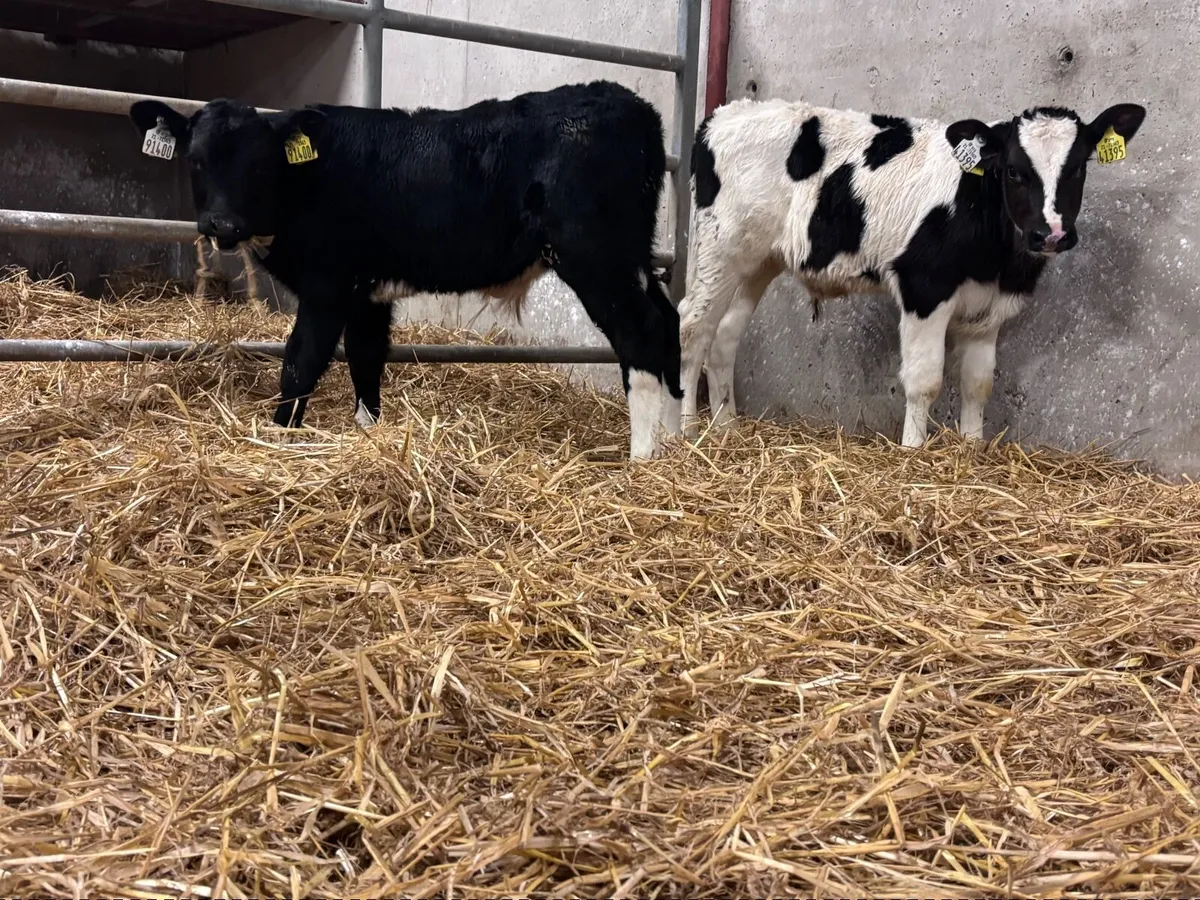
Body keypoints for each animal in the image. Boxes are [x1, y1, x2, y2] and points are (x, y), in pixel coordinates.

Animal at [129, 80, 681, 460]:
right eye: (196, 161)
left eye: (260, 164)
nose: (222, 224)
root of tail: (630, 104)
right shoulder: (366, 292)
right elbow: (366, 360)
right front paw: (370, 436)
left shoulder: (328, 284)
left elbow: (300, 361)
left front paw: (281, 437)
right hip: (632, 257)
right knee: (671, 322)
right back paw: (680, 439)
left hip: (593, 254)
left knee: (640, 332)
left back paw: (642, 456)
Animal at [677, 98, 1146, 448]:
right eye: (1013, 170)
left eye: (1079, 167)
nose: (1051, 233)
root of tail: (725, 113)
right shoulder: (924, 288)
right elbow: (924, 381)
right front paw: (913, 451)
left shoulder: (990, 308)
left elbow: (978, 384)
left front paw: (971, 450)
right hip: (719, 249)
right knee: (693, 328)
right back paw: (684, 432)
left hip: (757, 262)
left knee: (724, 336)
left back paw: (725, 429)